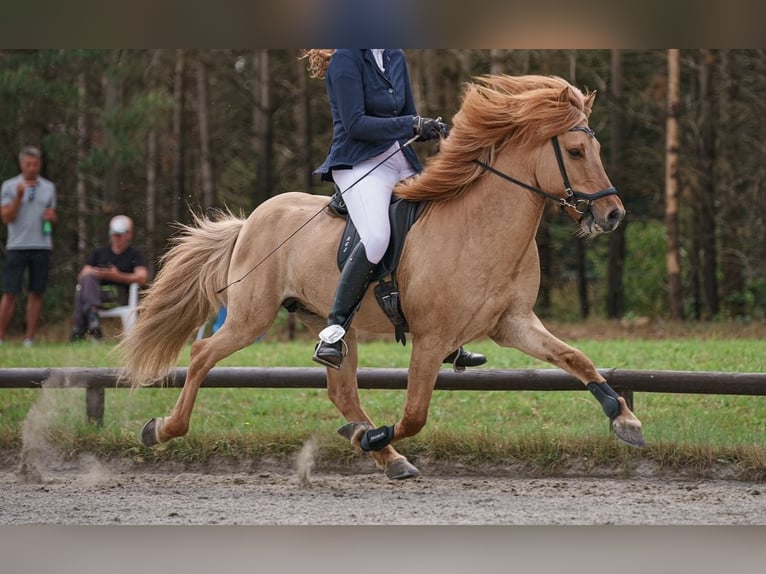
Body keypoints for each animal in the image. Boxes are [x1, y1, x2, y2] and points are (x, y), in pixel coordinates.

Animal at [118, 74, 646, 480]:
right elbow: (414, 414)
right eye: (575, 151)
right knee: (203, 354)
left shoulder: (512, 323)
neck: (482, 227)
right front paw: (373, 437)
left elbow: (576, 358)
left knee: (341, 388)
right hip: (252, 316)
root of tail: (250, 220)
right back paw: (161, 429)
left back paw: (385, 455)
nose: (614, 215)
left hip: (328, 320)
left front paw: (625, 418)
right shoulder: (431, 339)